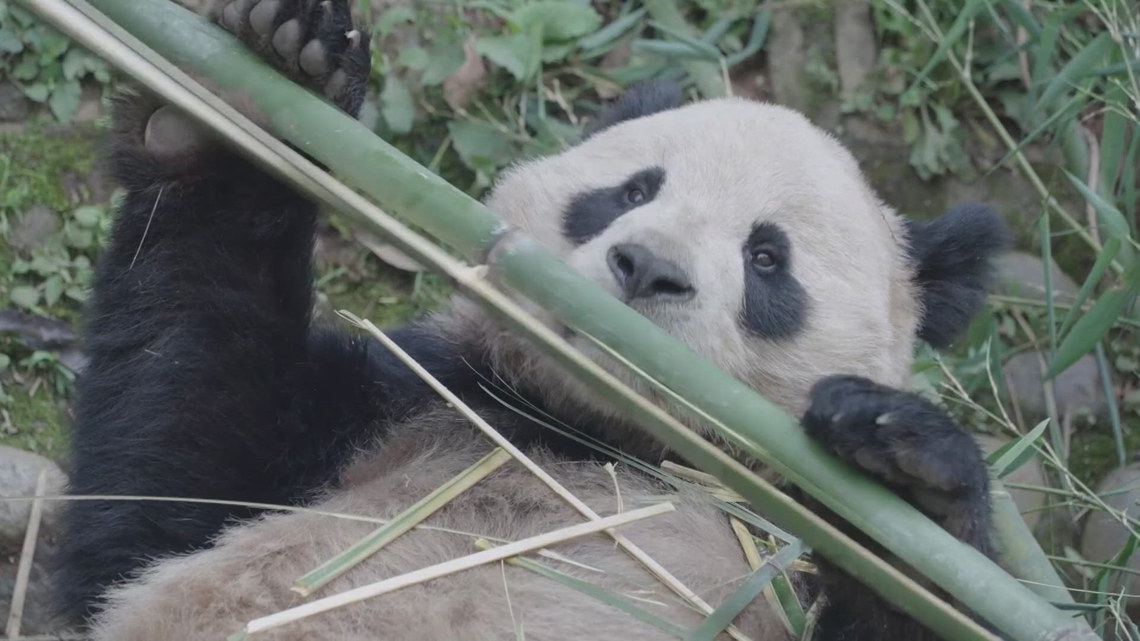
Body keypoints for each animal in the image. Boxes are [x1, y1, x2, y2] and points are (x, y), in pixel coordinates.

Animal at [55, 1, 1007, 638]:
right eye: (632, 190)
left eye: (767, 258)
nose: (646, 266)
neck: (594, 438)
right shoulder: (420, 401)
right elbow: (161, 485)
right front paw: (253, 89)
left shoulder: (770, 555)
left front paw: (907, 470)